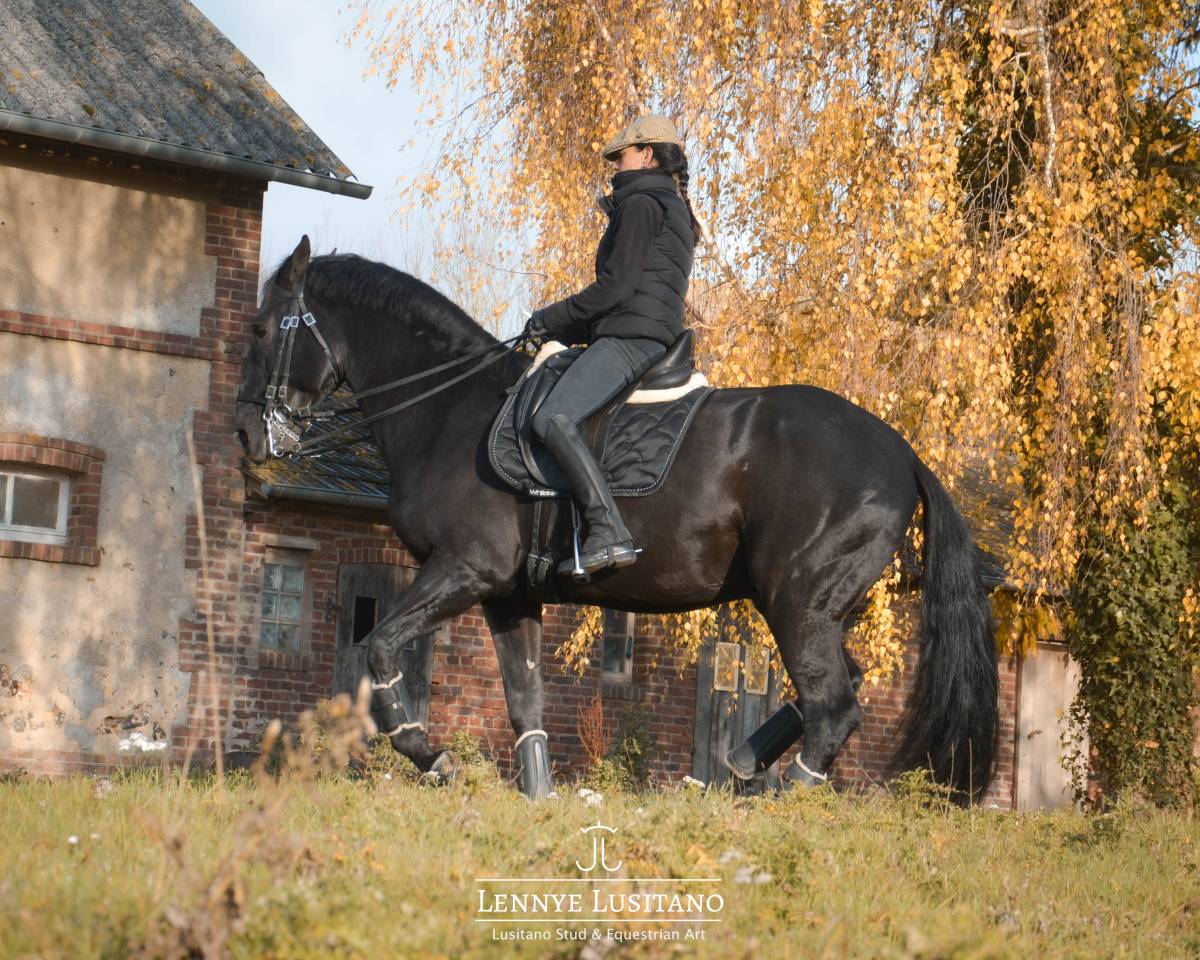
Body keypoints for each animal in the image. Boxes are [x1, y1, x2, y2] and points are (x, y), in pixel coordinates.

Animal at [235, 236, 999, 802]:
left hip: (798, 601)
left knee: (834, 705)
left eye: (262, 327)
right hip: (818, 605)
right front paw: (538, 795)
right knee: (844, 688)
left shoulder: (463, 570)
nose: (245, 435)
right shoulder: (509, 596)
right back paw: (743, 766)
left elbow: (382, 647)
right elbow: (525, 699)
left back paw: (777, 797)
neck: (448, 411)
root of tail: (901, 451)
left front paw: (430, 756)